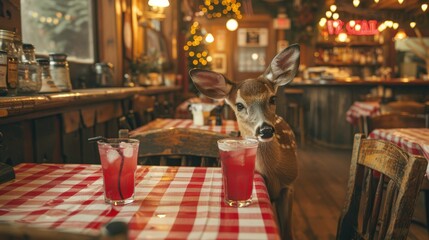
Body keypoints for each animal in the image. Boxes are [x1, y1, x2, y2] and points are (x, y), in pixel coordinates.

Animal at [189, 43, 300, 240]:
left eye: (272, 98)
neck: (273, 173)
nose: (265, 130)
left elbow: (288, 231)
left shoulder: (289, 185)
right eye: (239, 105)